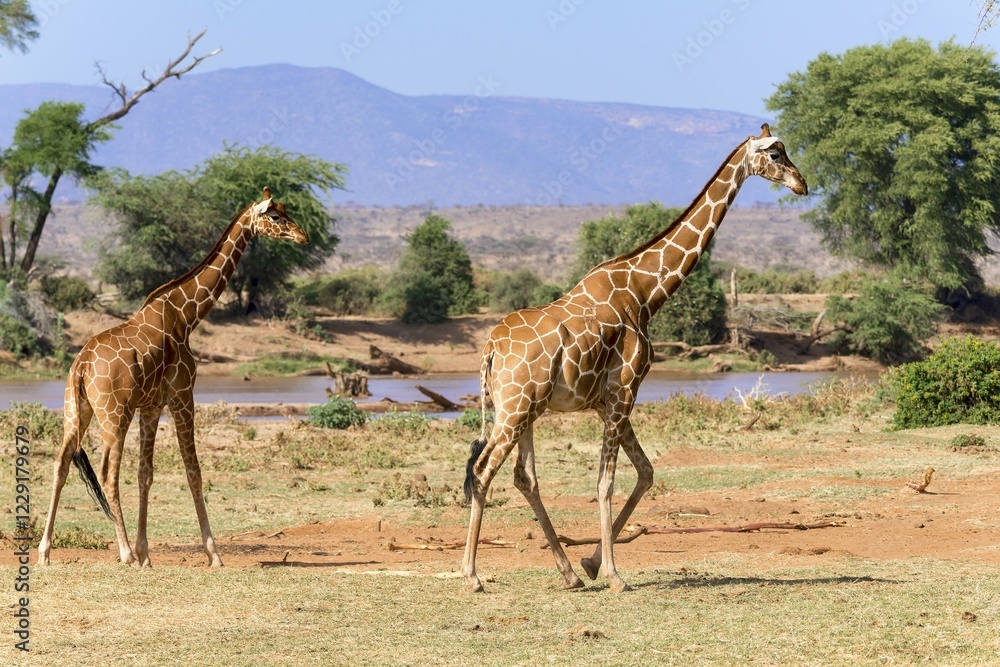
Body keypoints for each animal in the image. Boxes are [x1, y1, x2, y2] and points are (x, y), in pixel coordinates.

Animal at [38, 187, 309, 568]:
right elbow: (194, 472)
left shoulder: (152, 406)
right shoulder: (183, 396)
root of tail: (82, 365)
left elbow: (146, 474)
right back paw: (123, 554)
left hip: (76, 412)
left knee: (61, 464)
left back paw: (45, 552)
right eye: (275, 215)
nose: (303, 236)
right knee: (107, 472)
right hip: (114, 414)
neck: (187, 315)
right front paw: (213, 554)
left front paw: (146, 554)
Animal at [462, 124, 808, 592]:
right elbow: (606, 481)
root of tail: (491, 349)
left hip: (523, 409)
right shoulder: (625, 391)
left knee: (523, 477)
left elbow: (646, 472)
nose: (802, 184)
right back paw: (472, 575)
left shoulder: (606, 401)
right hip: (515, 410)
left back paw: (569, 574)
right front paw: (613, 574)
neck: (646, 293)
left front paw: (591, 563)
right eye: (774, 153)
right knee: (482, 471)